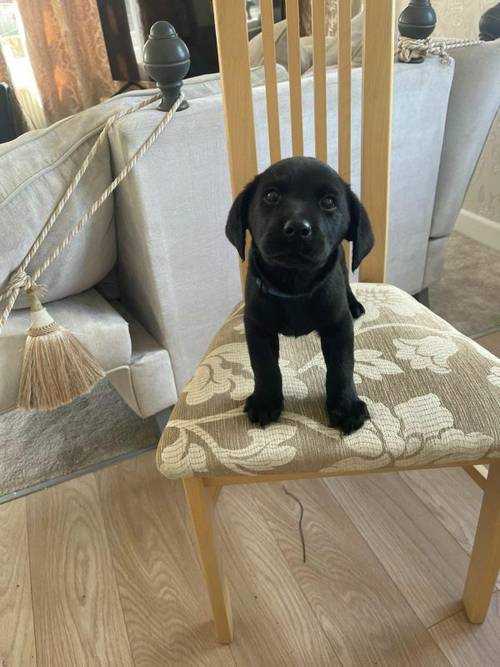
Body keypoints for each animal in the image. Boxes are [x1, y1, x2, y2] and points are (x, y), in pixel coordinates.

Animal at [225, 158, 374, 438]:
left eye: (329, 202)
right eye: (271, 196)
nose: (296, 228)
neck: (293, 286)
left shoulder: (338, 326)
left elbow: (342, 367)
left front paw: (346, 406)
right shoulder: (257, 327)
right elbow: (264, 365)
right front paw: (265, 401)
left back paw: (354, 305)